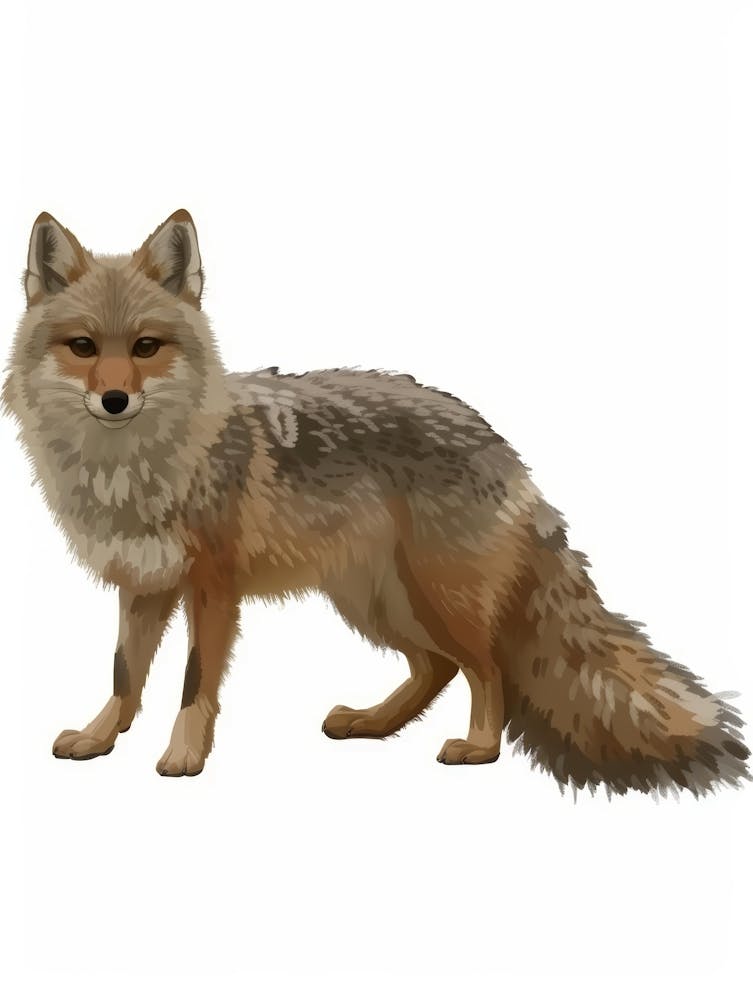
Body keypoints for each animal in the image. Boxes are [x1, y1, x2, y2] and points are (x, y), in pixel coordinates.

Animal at [2, 209, 749, 795]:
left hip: (432, 596)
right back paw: (370, 722)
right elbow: (124, 677)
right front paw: (99, 738)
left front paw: (184, 755)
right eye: (83, 347)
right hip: (374, 600)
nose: (114, 399)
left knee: (487, 670)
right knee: (438, 668)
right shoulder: (145, 584)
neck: (135, 471)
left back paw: (477, 748)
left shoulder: (212, 587)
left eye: (146, 347)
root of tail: (497, 438)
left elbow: (193, 683)